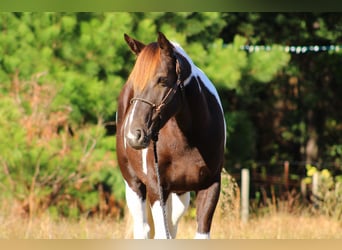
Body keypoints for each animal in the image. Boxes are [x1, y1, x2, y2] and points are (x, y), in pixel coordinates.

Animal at [116, 32, 226, 239]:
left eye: (162, 80)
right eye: (135, 83)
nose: (133, 135)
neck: (188, 139)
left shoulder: (211, 186)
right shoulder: (157, 188)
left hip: (180, 194)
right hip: (134, 184)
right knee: (143, 229)